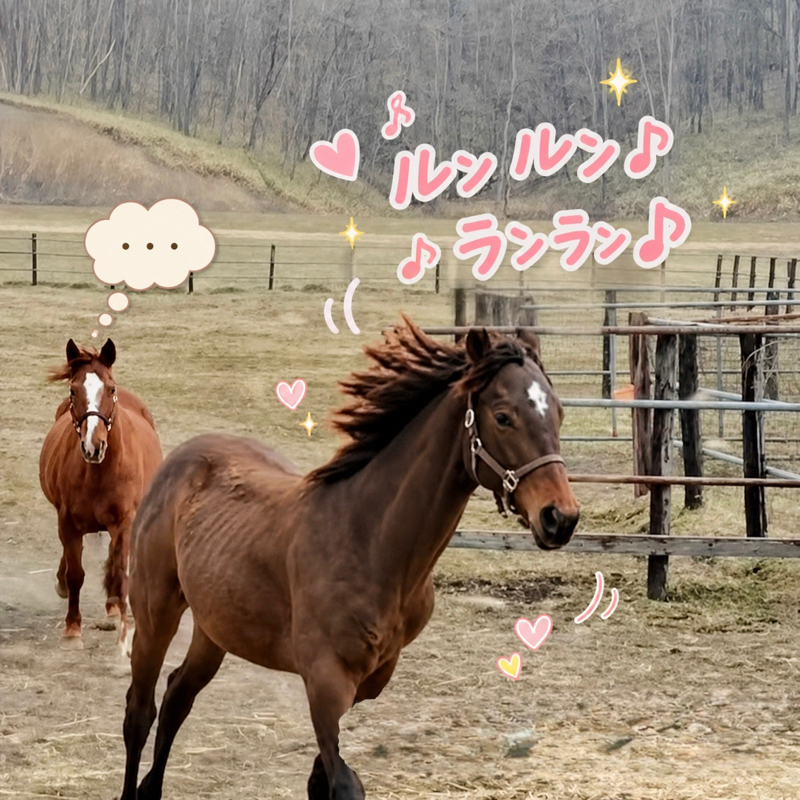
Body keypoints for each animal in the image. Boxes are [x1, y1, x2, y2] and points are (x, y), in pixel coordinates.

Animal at [39, 338, 163, 649]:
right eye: (73, 390)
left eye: (110, 389)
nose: (93, 446)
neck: (99, 471)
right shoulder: (67, 522)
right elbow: (75, 574)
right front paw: (72, 629)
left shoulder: (125, 521)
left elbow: (119, 566)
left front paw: (118, 611)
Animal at [119, 319, 580, 800]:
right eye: (504, 416)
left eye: (558, 413)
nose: (560, 518)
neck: (370, 540)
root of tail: (180, 457)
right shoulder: (324, 680)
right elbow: (343, 783)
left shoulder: (371, 679)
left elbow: (322, 775)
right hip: (156, 611)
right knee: (140, 712)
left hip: (216, 626)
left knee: (177, 696)